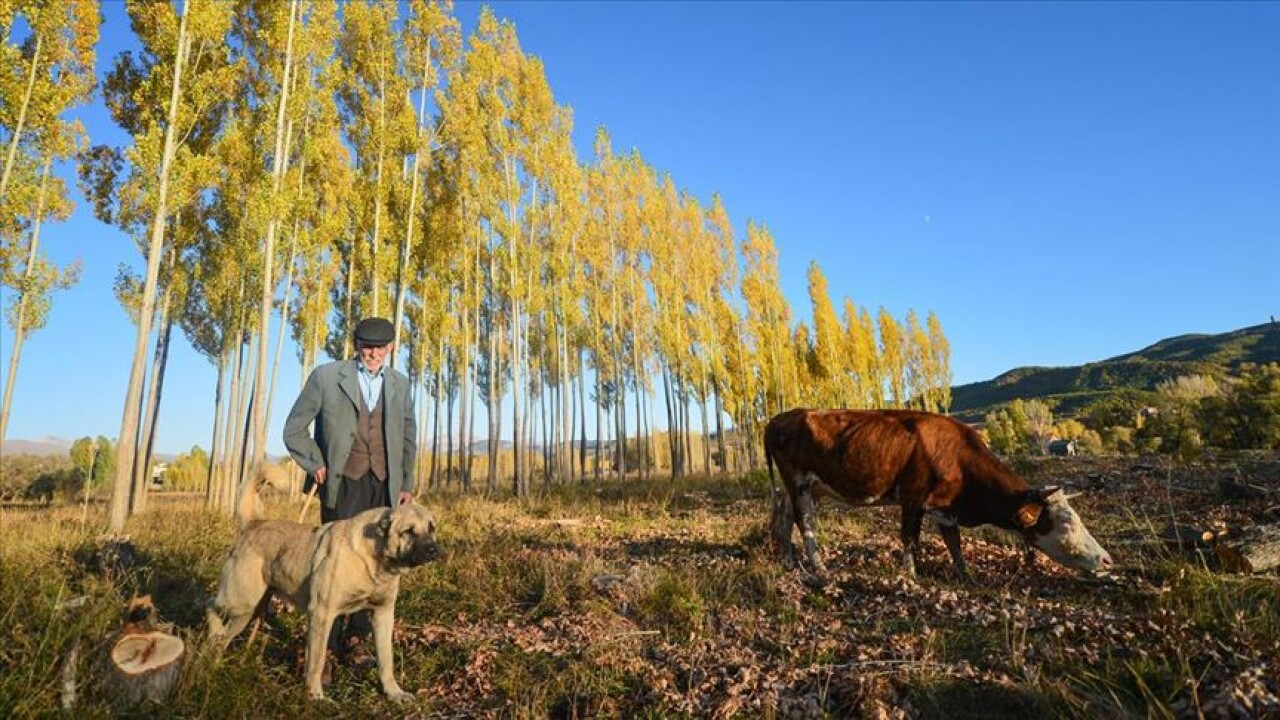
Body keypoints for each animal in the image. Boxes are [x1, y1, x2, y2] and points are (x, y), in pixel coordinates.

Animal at [762, 407, 1116, 573]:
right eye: (1065, 525)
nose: (1107, 560)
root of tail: (781, 417)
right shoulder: (913, 497)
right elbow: (909, 537)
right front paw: (910, 575)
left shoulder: (945, 508)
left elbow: (953, 543)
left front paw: (965, 574)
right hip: (799, 483)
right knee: (804, 522)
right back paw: (820, 568)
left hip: (805, 488)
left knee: (784, 518)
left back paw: (788, 562)